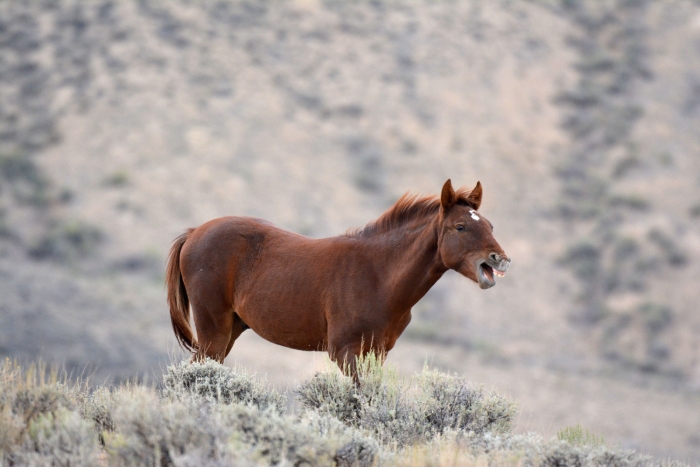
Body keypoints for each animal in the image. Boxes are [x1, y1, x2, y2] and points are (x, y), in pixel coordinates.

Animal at [167, 179, 512, 376]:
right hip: (213, 332)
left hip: (231, 330)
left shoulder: (377, 353)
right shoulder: (345, 352)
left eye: (490, 225)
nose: (500, 259)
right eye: (460, 227)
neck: (379, 275)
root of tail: (193, 232)